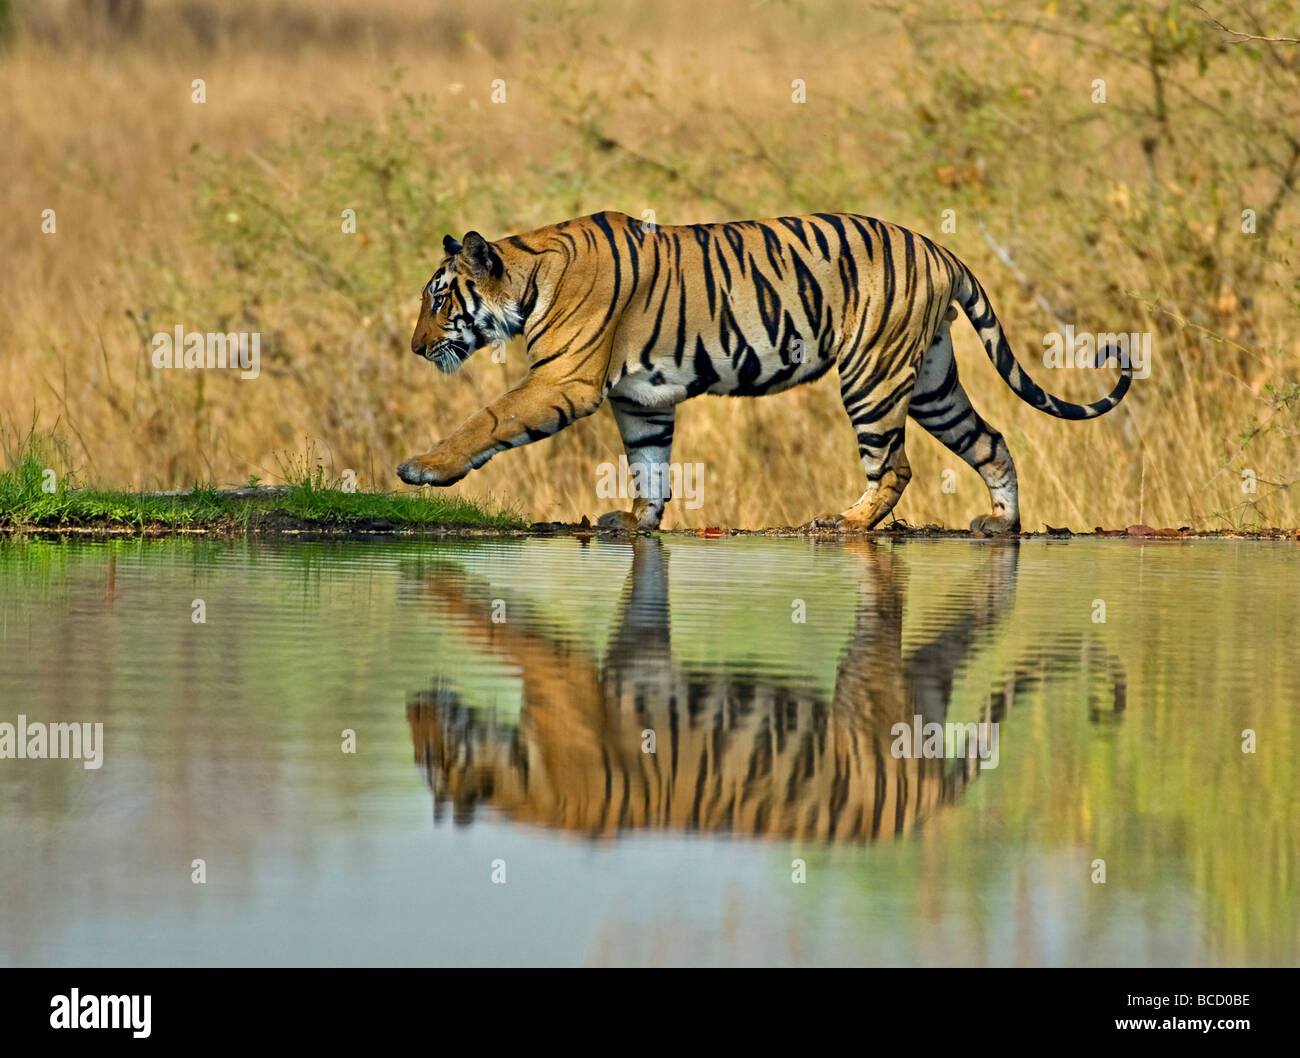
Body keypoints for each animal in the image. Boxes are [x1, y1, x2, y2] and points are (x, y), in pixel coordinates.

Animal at [392, 211, 1128, 530]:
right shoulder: (642, 400)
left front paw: (424, 468)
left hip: (871, 375)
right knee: (991, 440)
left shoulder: (564, 381)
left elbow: (489, 418)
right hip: (931, 382)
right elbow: (650, 465)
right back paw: (1001, 525)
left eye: (440, 300)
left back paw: (846, 522)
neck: (528, 274)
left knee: (894, 465)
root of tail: (939, 248)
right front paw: (637, 520)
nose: (415, 348)